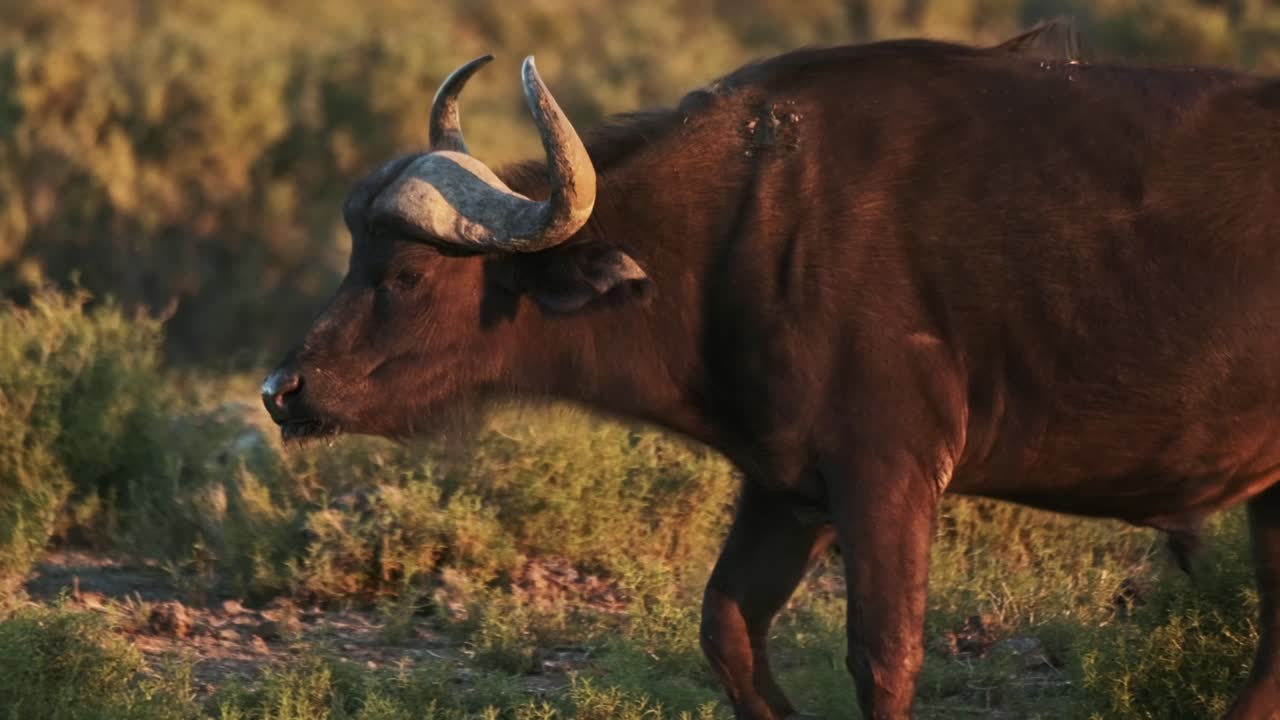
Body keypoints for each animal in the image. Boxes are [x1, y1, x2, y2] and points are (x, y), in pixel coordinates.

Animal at [262, 19, 1280, 720]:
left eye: (405, 272)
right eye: (354, 253)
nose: (282, 392)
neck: (744, 230)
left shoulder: (887, 474)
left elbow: (883, 655)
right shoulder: (787, 487)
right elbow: (727, 630)